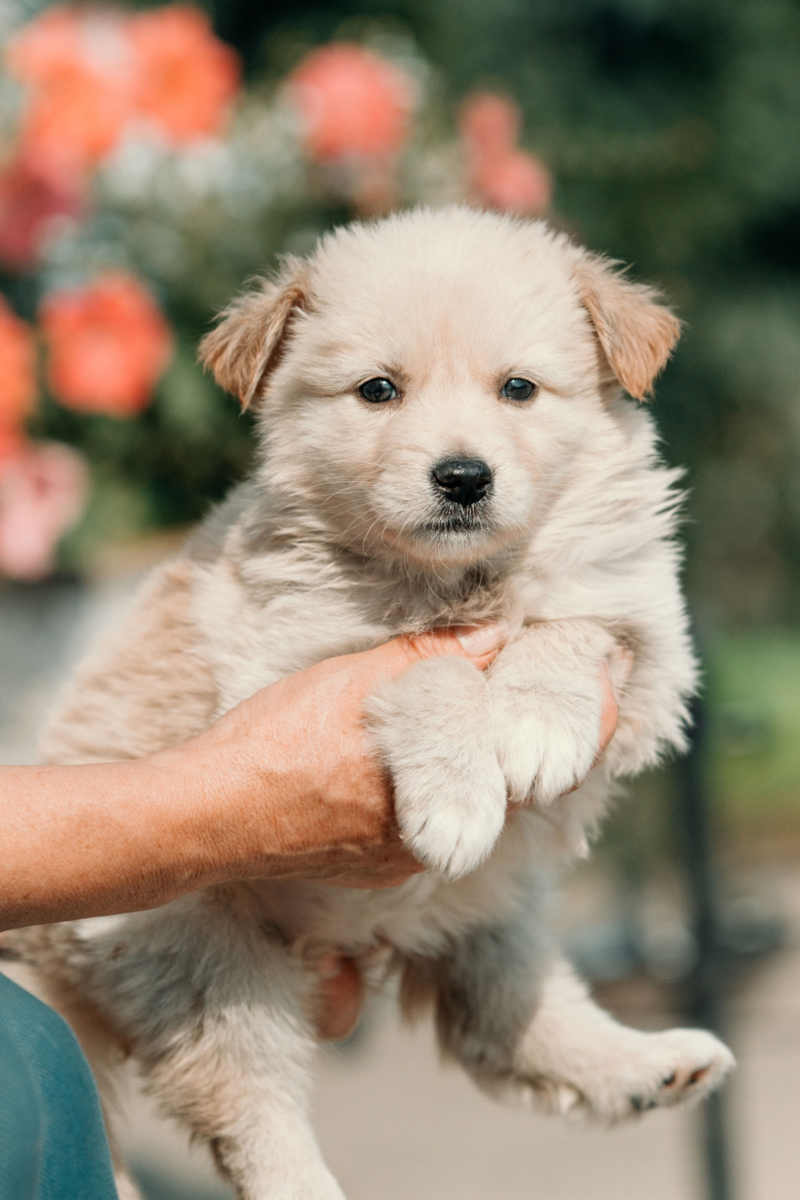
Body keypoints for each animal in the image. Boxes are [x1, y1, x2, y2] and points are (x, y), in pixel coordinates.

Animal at [14, 208, 738, 1200]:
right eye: (378, 391)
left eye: (519, 388)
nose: (463, 477)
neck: (457, 583)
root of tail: (48, 957)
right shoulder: (289, 665)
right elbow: (420, 671)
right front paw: (460, 794)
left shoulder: (654, 652)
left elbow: (575, 627)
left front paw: (536, 725)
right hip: (201, 961)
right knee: (252, 1107)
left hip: (498, 907)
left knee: (504, 1023)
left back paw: (647, 1065)